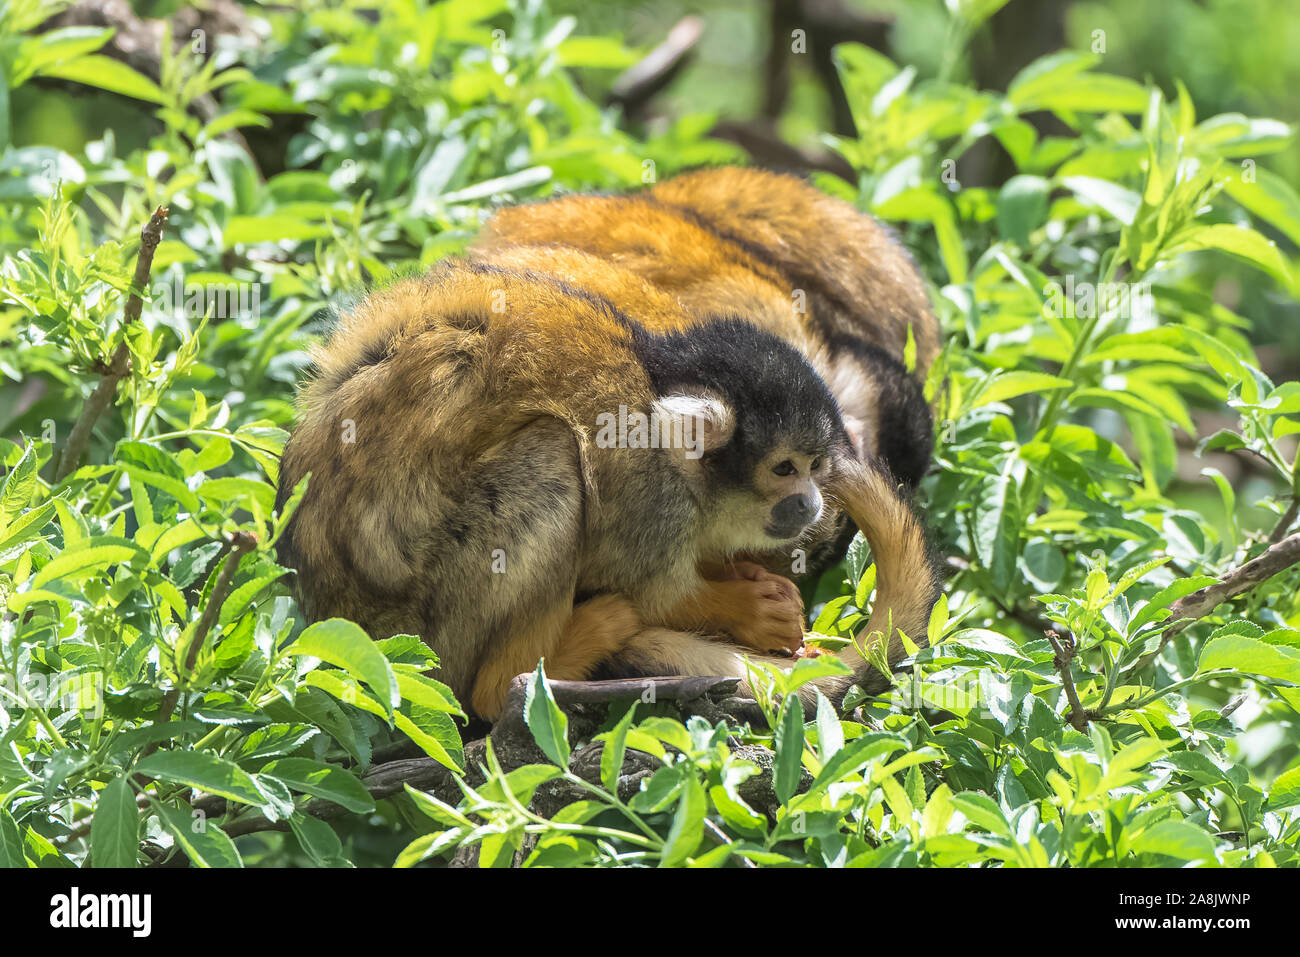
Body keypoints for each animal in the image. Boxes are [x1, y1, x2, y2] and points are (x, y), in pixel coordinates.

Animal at [275, 167, 941, 720]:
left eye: (814, 467)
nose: (810, 503)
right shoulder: (649, 494)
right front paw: (747, 610)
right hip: (431, 636)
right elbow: (650, 587)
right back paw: (526, 674)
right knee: (551, 459)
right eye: (784, 469)